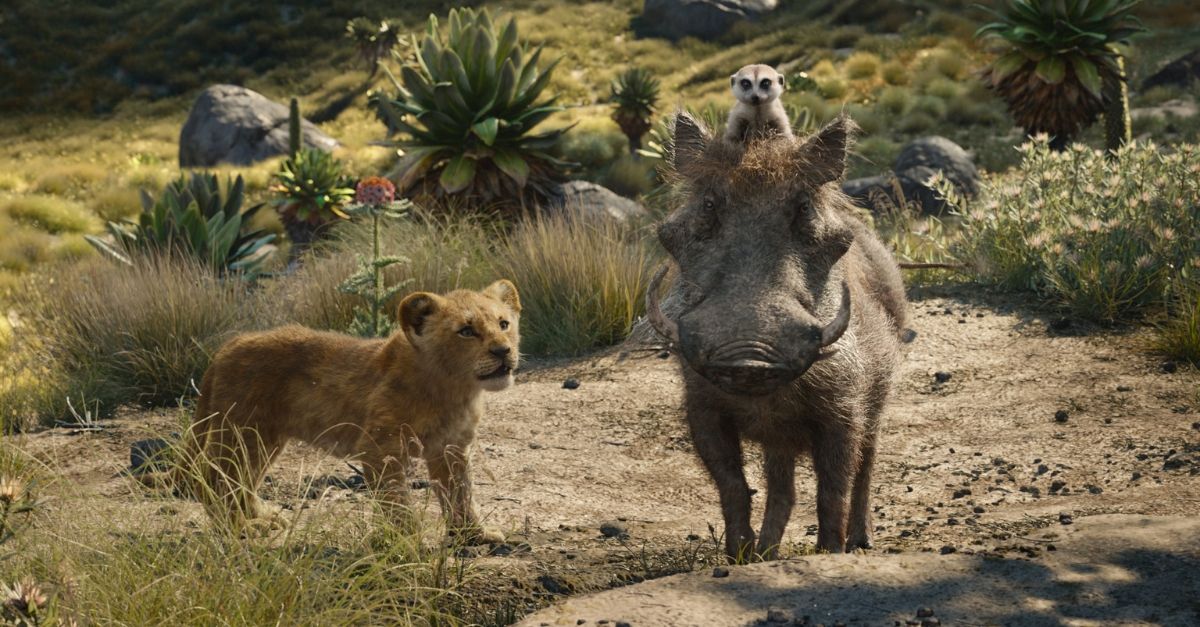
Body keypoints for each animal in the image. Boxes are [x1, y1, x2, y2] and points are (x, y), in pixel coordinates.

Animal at [175, 280, 521, 543]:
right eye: (466, 331)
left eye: (504, 324)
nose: (503, 351)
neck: (454, 389)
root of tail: (227, 347)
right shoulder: (380, 448)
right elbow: (397, 501)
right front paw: (408, 543)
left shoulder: (451, 448)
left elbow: (461, 492)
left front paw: (473, 534)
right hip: (242, 432)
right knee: (214, 478)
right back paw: (242, 527)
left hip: (264, 438)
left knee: (242, 479)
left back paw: (263, 516)